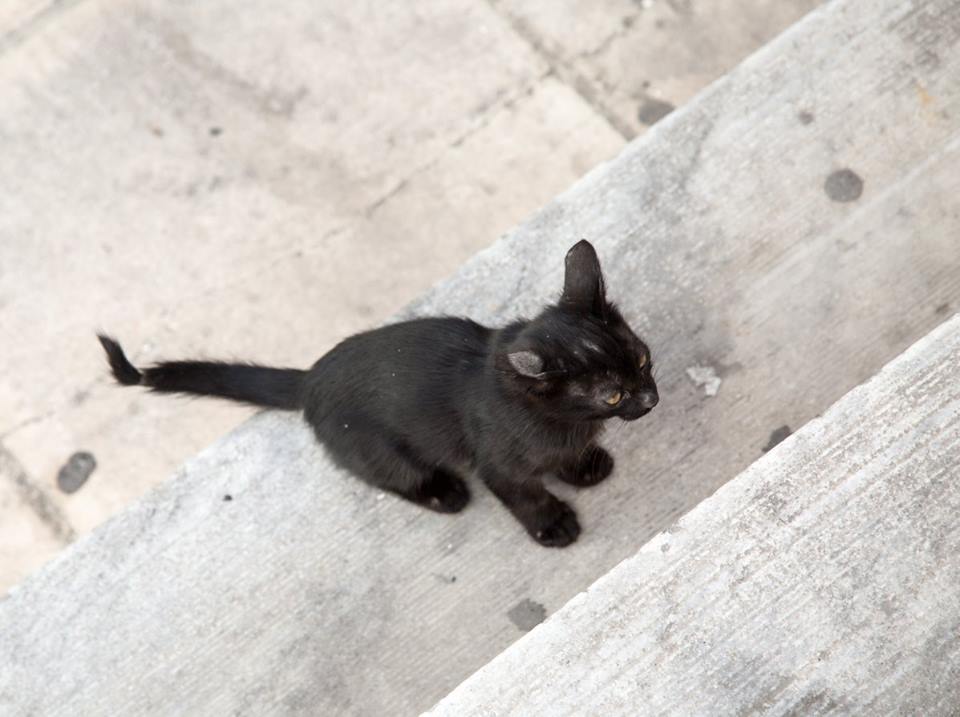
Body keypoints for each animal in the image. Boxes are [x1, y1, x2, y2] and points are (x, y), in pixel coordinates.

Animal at [99, 242, 652, 548]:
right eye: (611, 396)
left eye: (644, 360)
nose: (651, 400)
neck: (561, 420)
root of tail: (310, 379)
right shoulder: (498, 463)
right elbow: (526, 494)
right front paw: (552, 524)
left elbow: (566, 458)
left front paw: (584, 467)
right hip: (379, 449)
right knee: (389, 476)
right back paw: (443, 492)